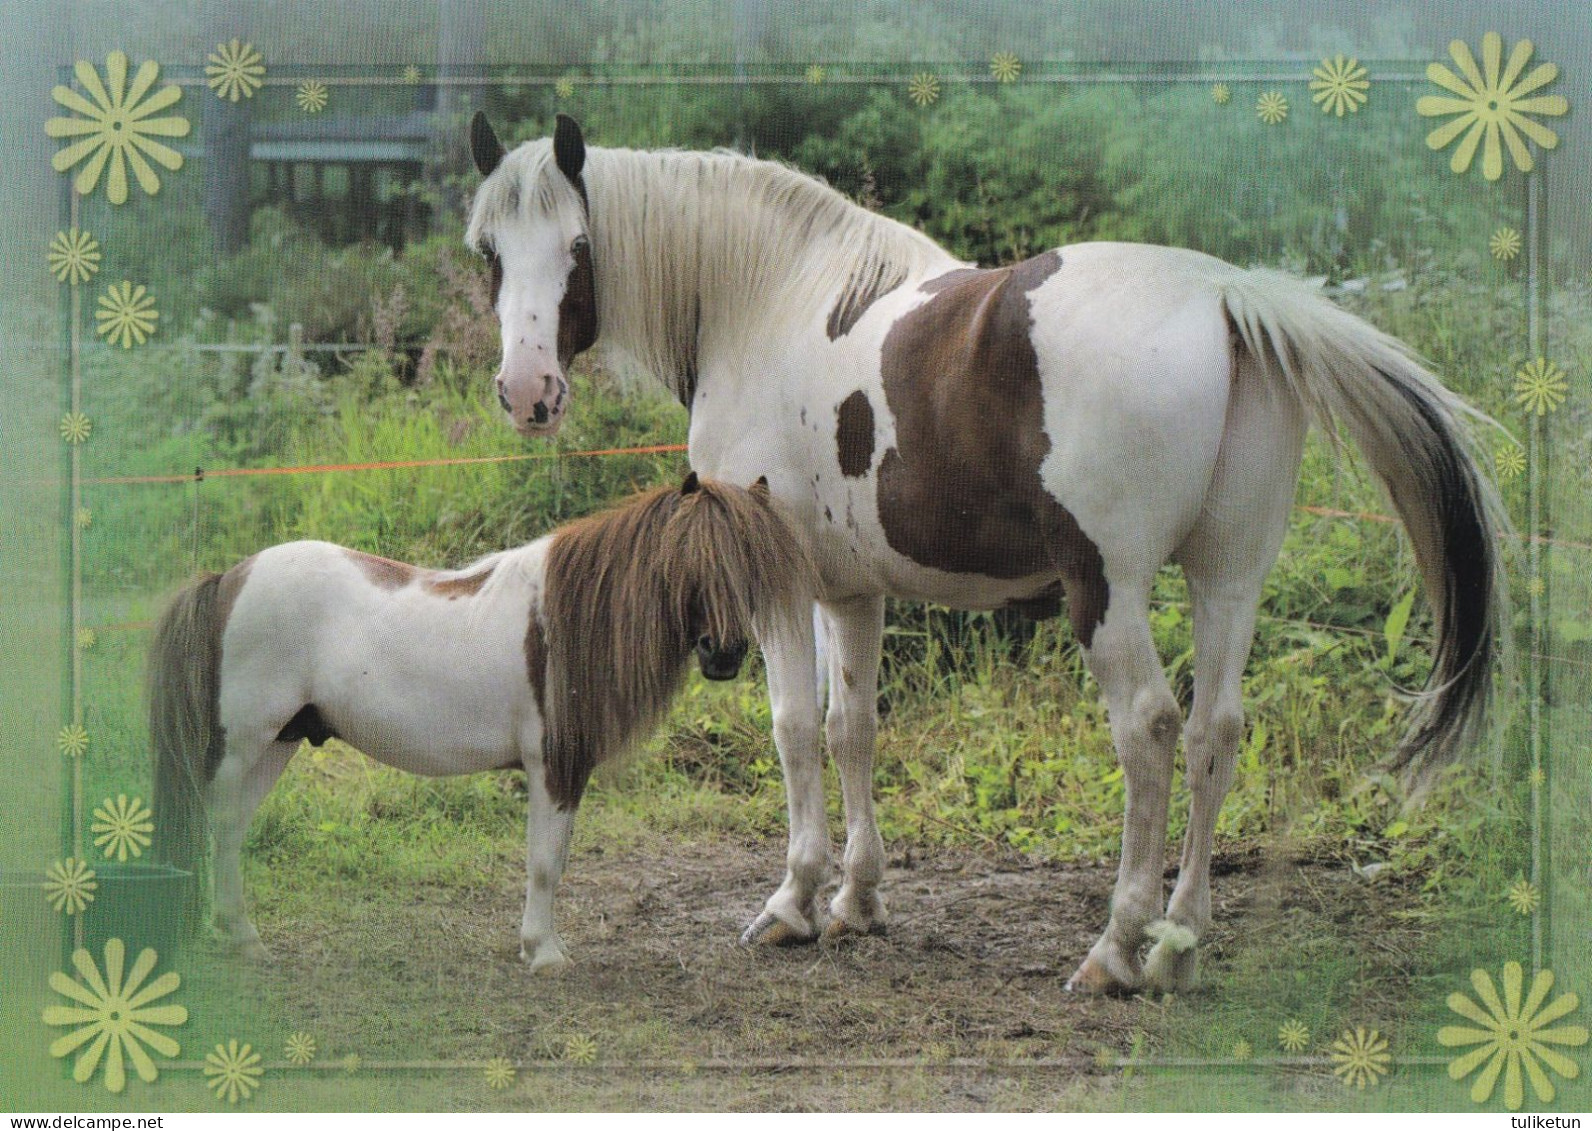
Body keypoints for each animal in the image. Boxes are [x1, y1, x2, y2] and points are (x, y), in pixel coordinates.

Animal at [150, 474, 815, 968]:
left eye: (752, 561)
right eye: (687, 555)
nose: (723, 653)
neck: (562, 622)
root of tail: (227, 579)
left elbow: (555, 861)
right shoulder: (554, 767)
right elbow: (545, 862)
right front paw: (544, 954)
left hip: (277, 744)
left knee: (229, 829)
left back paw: (241, 937)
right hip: (244, 744)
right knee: (220, 824)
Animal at [464, 115, 1502, 994]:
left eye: (578, 248)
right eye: (489, 253)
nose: (527, 391)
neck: (767, 301)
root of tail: (1223, 297)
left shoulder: (779, 586)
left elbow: (794, 730)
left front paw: (792, 902)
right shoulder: (850, 594)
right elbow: (852, 728)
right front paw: (857, 899)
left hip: (1108, 590)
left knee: (1152, 729)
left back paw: (1117, 948)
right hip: (1229, 579)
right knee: (1217, 731)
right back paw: (1178, 943)